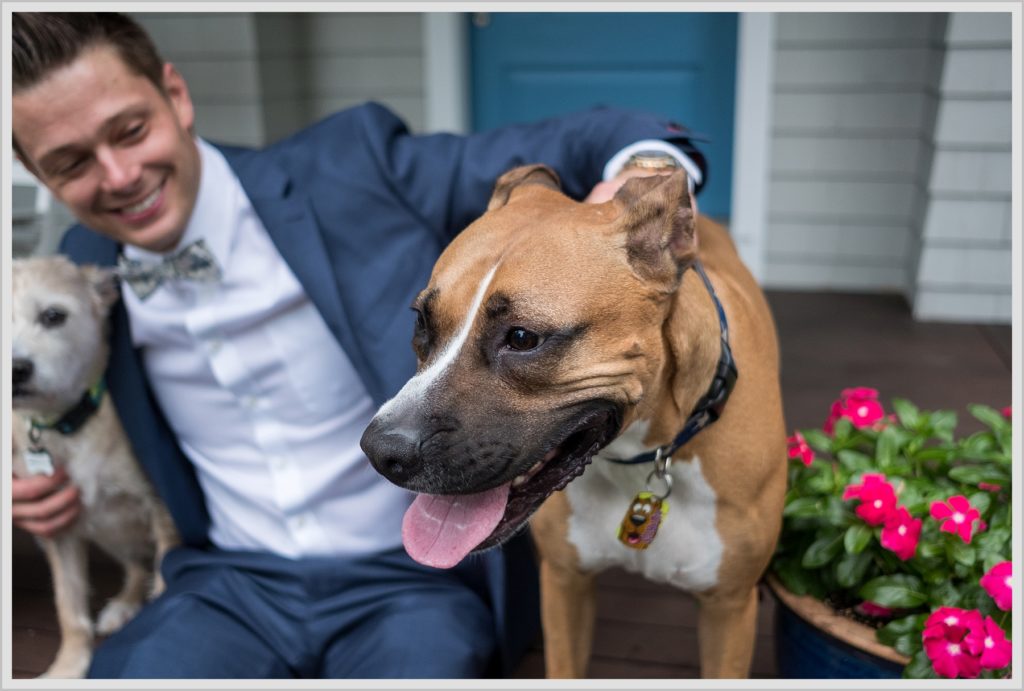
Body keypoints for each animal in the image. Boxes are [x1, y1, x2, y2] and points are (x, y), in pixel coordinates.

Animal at [11, 256, 178, 679]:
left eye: (53, 316)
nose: (15, 370)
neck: (70, 423)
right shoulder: (58, 529)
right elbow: (68, 606)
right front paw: (68, 666)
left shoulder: (162, 507)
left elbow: (168, 574)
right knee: (135, 567)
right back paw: (124, 605)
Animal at [360, 165, 782, 679]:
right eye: (421, 321)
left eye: (523, 338)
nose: (381, 450)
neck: (642, 456)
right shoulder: (565, 585)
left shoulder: (729, 611)